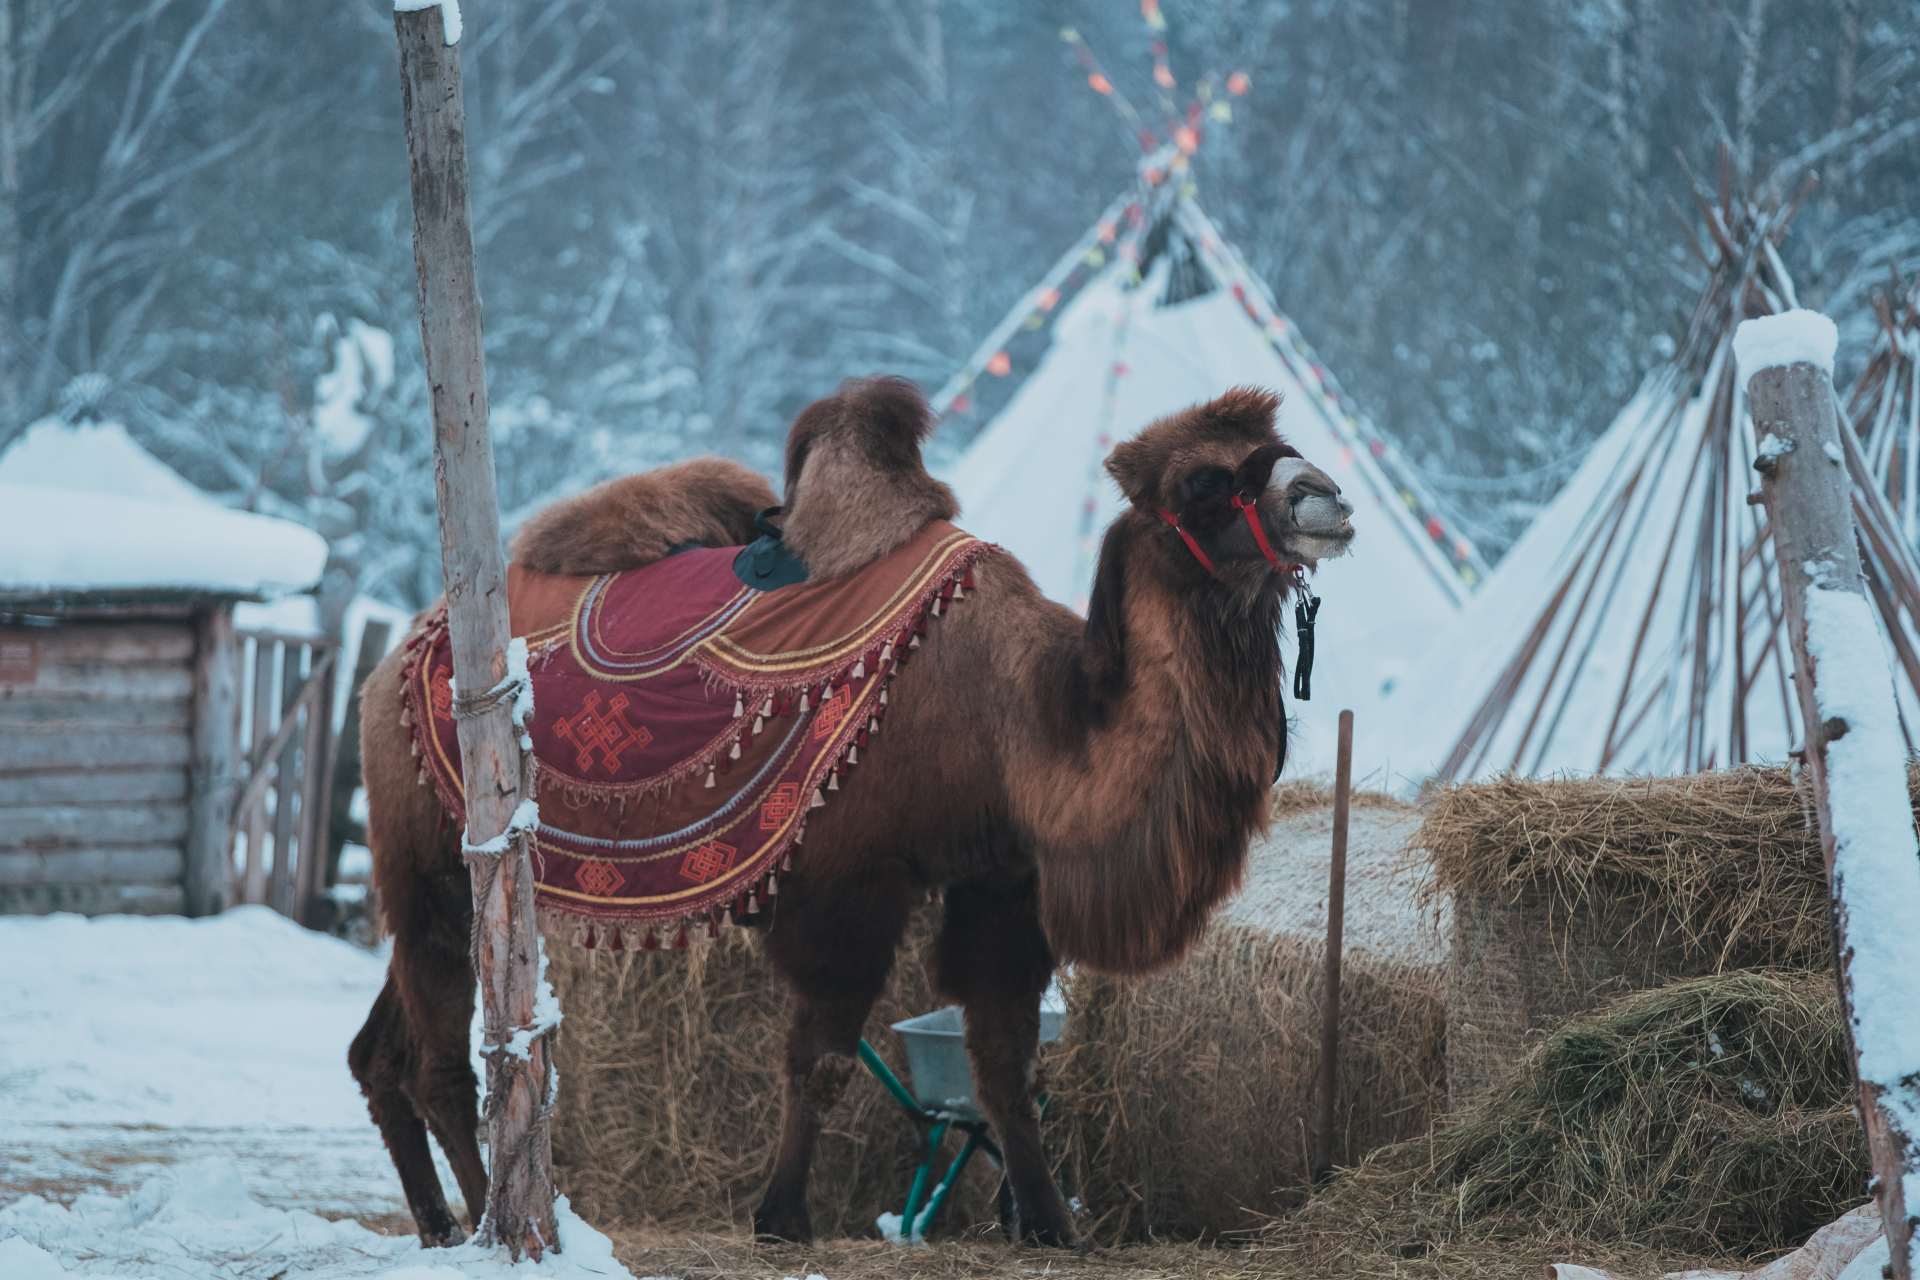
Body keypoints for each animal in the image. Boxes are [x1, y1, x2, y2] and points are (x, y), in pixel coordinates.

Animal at [348, 377, 1355, 1249]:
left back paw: (439, 1222)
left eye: (1285, 447)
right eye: (1204, 482)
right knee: (443, 1062)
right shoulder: (850, 882)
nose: (1327, 497)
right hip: (433, 861)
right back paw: (492, 1221)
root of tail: (401, 649)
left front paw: (1047, 1225)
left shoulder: (1002, 881)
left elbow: (1003, 1058)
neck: (1019, 721)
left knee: (379, 1051)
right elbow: (825, 1056)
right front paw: (781, 1216)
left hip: (446, 883)